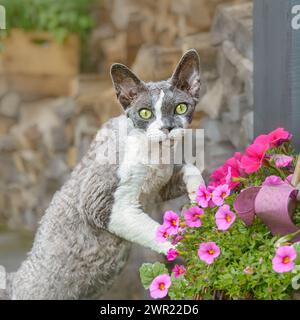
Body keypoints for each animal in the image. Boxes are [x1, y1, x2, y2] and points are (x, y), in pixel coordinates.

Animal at [6, 48, 204, 298]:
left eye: (180, 107)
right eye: (145, 113)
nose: (167, 128)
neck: (157, 156)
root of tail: (15, 280)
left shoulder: (158, 189)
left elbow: (192, 167)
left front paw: (200, 196)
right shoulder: (101, 205)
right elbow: (157, 232)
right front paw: (193, 247)